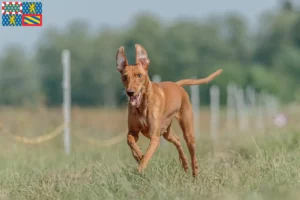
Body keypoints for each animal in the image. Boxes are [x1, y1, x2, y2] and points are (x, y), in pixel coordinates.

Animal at [116, 44, 221, 177]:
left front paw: (140, 168)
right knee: (177, 141)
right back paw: (184, 163)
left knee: (192, 151)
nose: (130, 92)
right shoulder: (133, 131)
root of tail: (177, 85)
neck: (142, 106)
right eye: (125, 77)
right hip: (166, 132)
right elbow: (129, 140)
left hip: (187, 131)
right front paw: (138, 154)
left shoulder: (155, 137)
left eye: (139, 75)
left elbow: (147, 156)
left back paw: (195, 172)